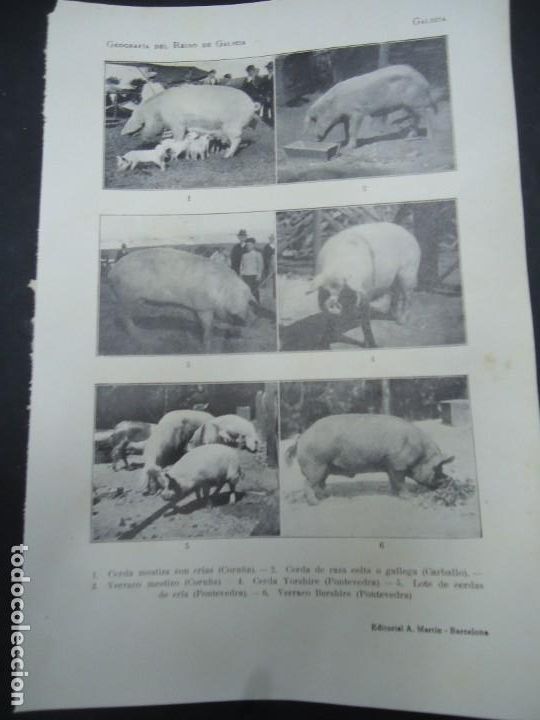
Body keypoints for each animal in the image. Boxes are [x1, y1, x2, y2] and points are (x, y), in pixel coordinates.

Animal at [107, 247, 258, 352]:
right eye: (246, 302)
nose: (251, 321)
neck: (221, 291)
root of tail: (112, 271)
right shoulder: (204, 306)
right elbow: (208, 326)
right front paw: (207, 347)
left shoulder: (195, 306)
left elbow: (199, 323)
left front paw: (196, 334)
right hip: (127, 297)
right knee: (124, 317)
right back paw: (140, 335)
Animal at [121, 85, 258, 158]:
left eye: (135, 115)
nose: (122, 132)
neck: (158, 110)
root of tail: (251, 104)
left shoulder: (177, 124)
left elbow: (178, 137)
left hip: (232, 125)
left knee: (237, 139)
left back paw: (226, 156)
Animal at [286, 414, 454, 505]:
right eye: (437, 468)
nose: (448, 480)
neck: (420, 453)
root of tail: (302, 437)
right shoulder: (398, 464)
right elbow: (401, 482)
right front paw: (408, 497)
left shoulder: (390, 465)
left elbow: (393, 481)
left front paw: (393, 494)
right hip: (316, 464)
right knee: (308, 483)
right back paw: (315, 503)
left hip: (324, 466)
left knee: (320, 483)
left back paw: (327, 497)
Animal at [305, 65, 437, 150]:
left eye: (315, 119)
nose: (314, 139)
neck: (336, 102)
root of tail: (423, 79)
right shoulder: (347, 116)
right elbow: (347, 130)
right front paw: (345, 143)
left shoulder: (357, 112)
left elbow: (352, 129)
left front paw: (349, 148)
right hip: (408, 105)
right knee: (416, 117)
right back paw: (409, 137)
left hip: (416, 100)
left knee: (428, 113)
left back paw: (429, 138)